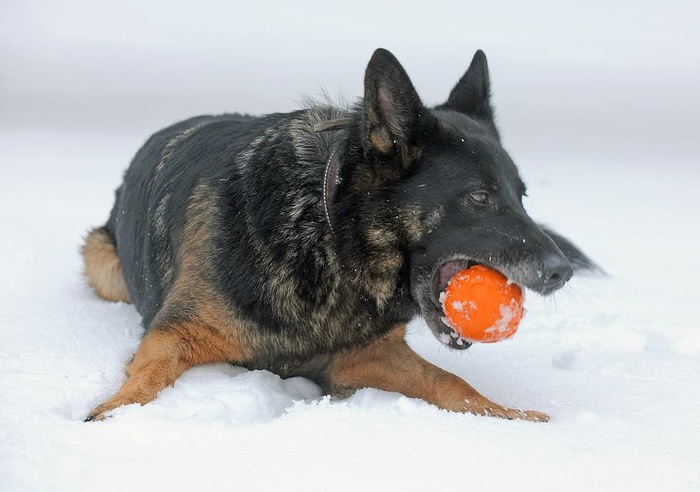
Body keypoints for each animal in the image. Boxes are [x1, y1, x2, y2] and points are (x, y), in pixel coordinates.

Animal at [82, 48, 596, 420]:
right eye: (480, 197)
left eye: (521, 197)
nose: (561, 273)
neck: (328, 238)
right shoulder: (174, 334)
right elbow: (148, 377)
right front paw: (114, 413)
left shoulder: (364, 358)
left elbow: (451, 382)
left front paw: (515, 417)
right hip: (102, 264)